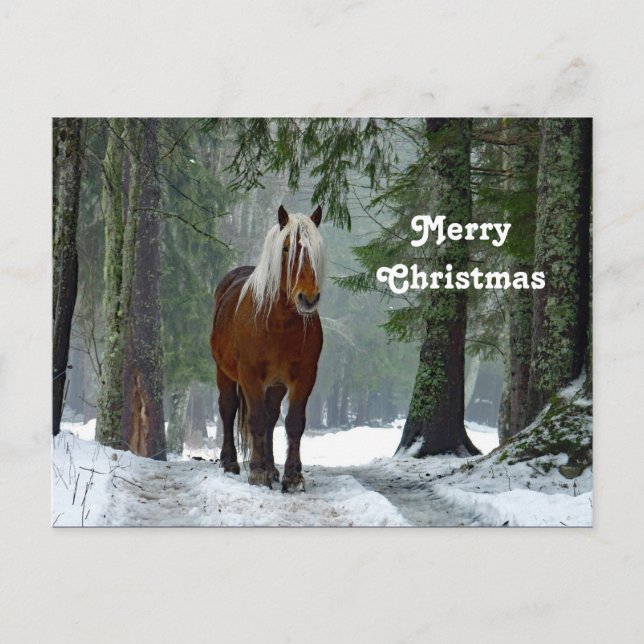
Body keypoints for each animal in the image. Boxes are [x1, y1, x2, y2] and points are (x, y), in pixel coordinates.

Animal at [210, 205, 325, 491]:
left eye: (317, 249)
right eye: (286, 248)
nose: (308, 298)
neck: (278, 323)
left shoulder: (304, 376)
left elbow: (293, 423)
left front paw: (292, 476)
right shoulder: (249, 375)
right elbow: (256, 419)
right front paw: (258, 472)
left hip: (276, 383)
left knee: (272, 418)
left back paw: (273, 467)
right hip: (224, 372)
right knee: (228, 409)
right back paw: (231, 462)